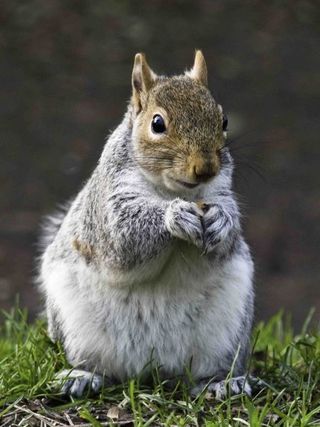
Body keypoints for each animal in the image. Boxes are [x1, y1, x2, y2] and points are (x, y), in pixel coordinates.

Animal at [38, 51, 255, 400]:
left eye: (223, 121)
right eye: (157, 124)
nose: (206, 168)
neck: (171, 190)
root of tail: (151, 373)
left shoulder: (220, 192)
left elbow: (227, 229)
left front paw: (222, 220)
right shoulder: (108, 208)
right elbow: (124, 239)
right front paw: (174, 216)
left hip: (229, 327)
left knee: (210, 371)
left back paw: (223, 382)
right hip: (72, 324)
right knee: (97, 367)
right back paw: (82, 376)